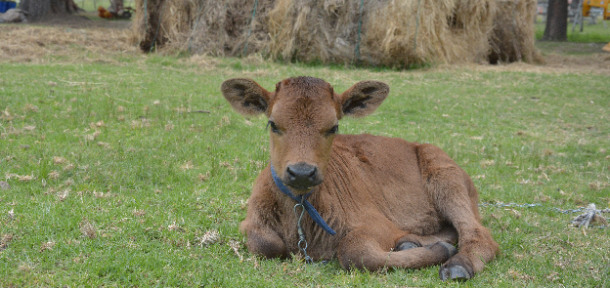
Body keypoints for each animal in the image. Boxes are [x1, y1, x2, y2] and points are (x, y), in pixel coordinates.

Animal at [221, 76, 496, 282]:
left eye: (334, 127)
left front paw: (440, 251)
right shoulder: (251, 222)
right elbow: (264, 244)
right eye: (273, 124)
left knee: (478, 232)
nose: (301, 172)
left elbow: (355, 252)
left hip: (446, 176)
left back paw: (457, 265)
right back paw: (410, 242)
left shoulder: (375, 223)